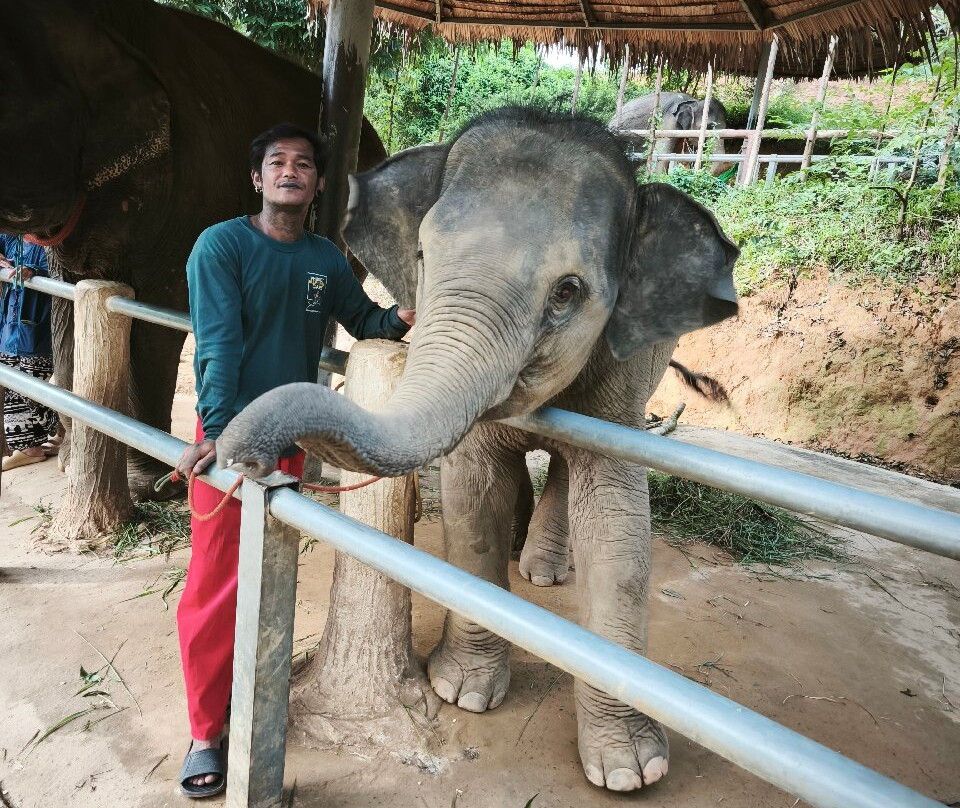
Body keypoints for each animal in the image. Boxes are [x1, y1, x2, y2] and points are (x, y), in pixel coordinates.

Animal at [218, 107, 739, 791]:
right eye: (421, 254)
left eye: (567, 292)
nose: (239, 456)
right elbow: (473, 496)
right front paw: (461, 691)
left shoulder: (624, 381)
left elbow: (617, 524)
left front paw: (631, 771)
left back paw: (542, 570)